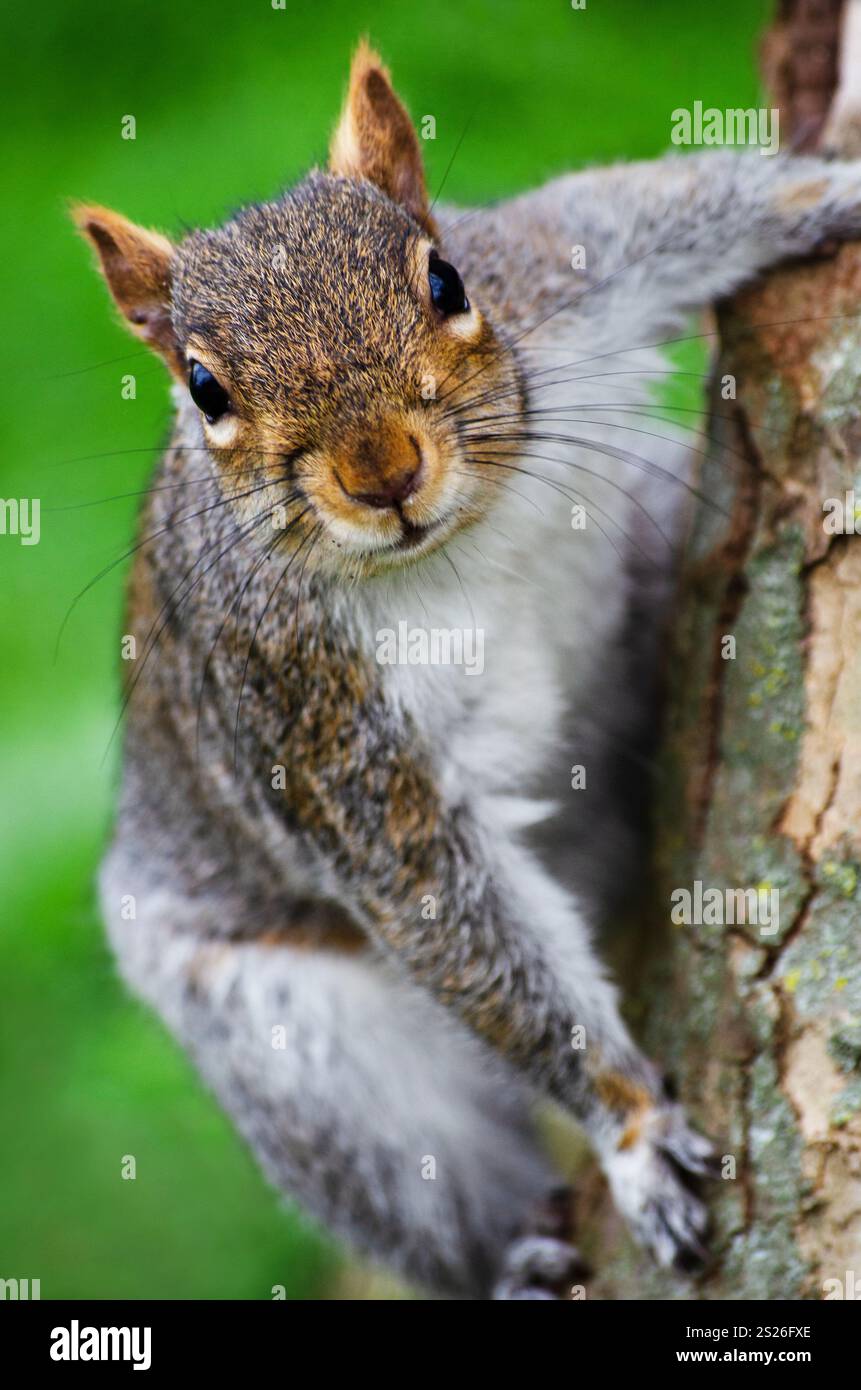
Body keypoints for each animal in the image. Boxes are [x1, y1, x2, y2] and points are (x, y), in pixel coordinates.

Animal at [74, 42, 861, 1299]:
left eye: (445, 282)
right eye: (205, 391)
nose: (381, 469)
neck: (451, 545)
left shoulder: (558, 276)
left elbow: (681, 203)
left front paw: (833, 191)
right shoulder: (309, 711)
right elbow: (452, 910)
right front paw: (634, 1131)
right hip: (295, 1054)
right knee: (419, 1182)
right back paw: (513, 1258)